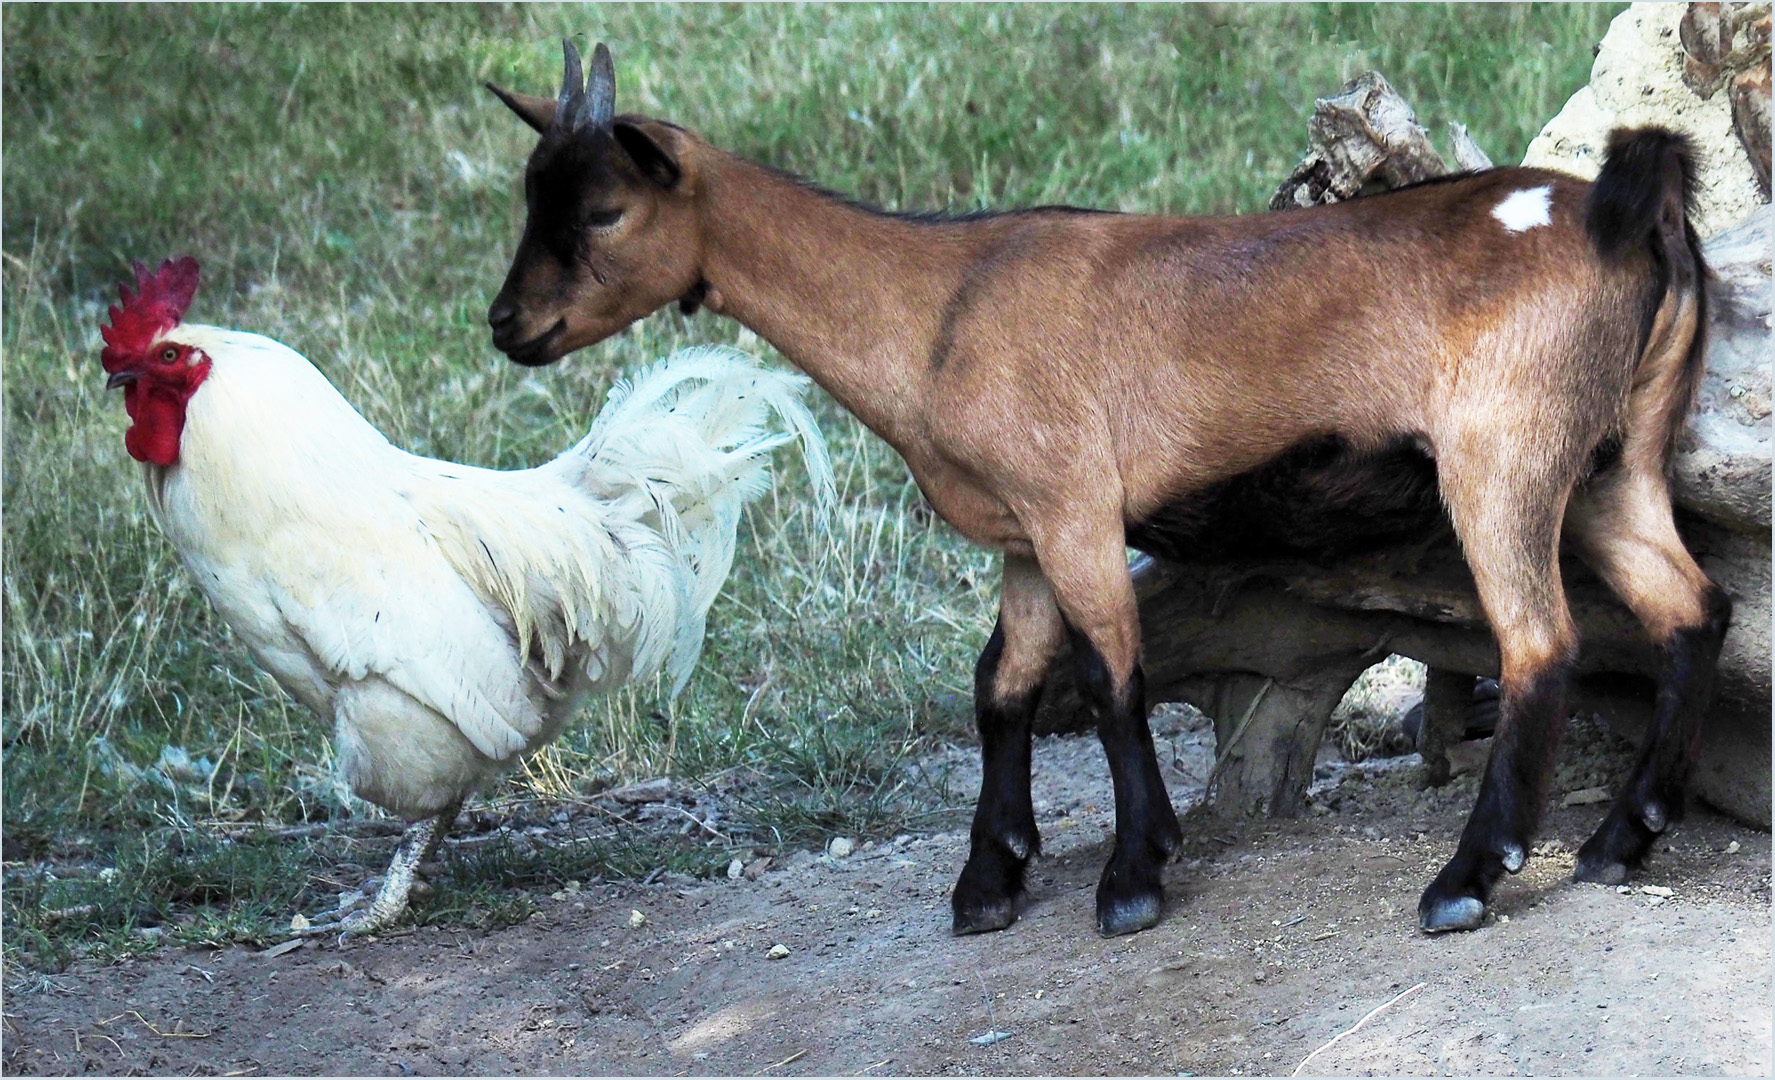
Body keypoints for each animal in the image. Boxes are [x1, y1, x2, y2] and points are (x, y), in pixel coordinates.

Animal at [479, 42, 1725, 937]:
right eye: (531, 198)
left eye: (602, 211)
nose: (506, 326)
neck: (936, 306)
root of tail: (1639, 222)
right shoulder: (1021, 535)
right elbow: (1000, 684)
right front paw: (988, 879)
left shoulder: (1073, 505)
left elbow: (1110, 677)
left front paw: (1130, 881)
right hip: (1615, 463)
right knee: (1689, 611)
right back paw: (1618, 841)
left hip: (1502, 455)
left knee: (1539, 642)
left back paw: (1466, 880)